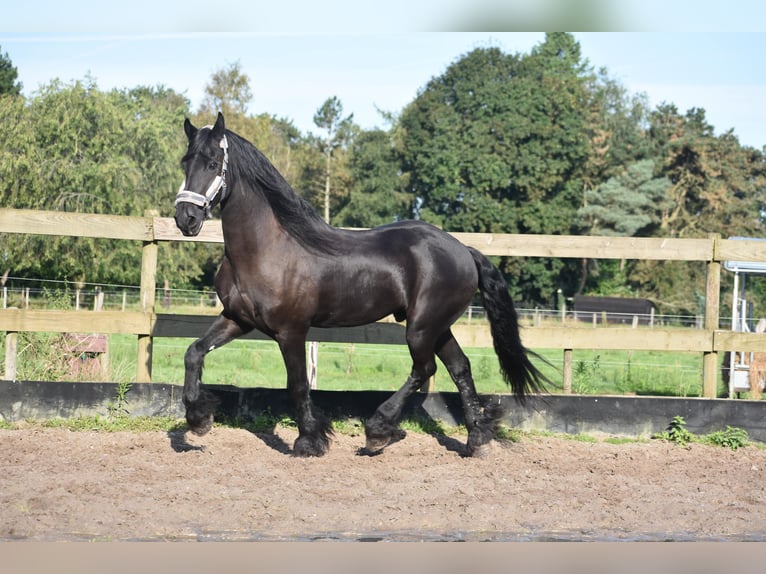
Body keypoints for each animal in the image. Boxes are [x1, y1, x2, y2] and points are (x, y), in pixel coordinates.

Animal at [176, 115, 544, 462]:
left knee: (425, 369)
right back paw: (476, 439)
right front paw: (199, 419)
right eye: (185, 162)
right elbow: (193, 352)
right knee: (460, 368)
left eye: (212, 163)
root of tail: (464, 251)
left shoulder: (291, 331)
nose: (186, 218)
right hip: (438, 327)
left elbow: (297, 385)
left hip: (422, 327)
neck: (267, 249)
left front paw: (309, 441)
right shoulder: (237, 319)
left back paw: (379, 431)